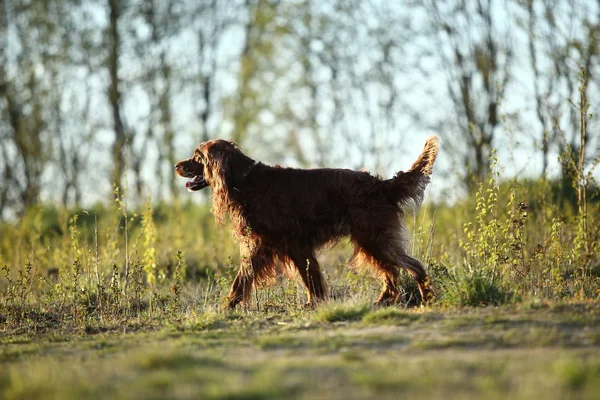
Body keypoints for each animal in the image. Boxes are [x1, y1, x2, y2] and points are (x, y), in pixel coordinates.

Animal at [176, 136, 438, 308]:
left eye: (197, 156)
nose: (177, 165)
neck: (245, 181)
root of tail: (383, 185)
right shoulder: (267, 247)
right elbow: (244, 279)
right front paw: (228, 306)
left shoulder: (291, 244)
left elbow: (307, 277)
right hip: (371, 241)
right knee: (392, 272)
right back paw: (384, 300)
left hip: (375, 238)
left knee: (413, 266)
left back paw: (426, 299)